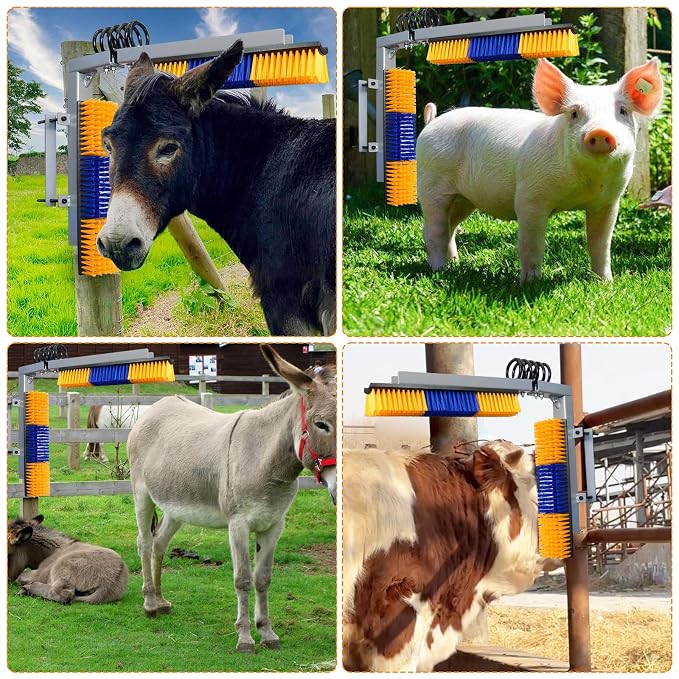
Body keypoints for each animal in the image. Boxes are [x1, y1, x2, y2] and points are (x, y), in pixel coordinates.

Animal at [126, 345, 336, 652]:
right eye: (321, 425)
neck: (264, 460)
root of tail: (158, 405)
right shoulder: (238, 525)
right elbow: (243, 580)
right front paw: (245, 638)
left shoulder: (274, 525)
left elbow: (263, 578)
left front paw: (267, 633)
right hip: (142, 495)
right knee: (143, 542)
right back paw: (150, 603)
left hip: (176, 507)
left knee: (159, 543)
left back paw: (162, 601)